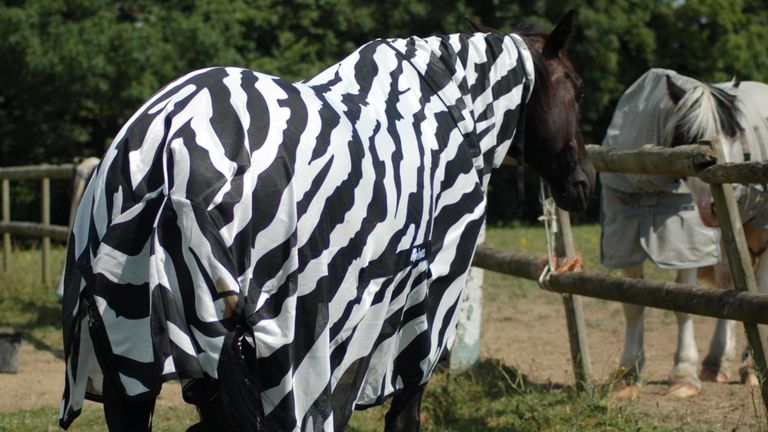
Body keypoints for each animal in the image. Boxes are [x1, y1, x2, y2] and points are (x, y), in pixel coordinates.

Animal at [58, 10, 593, 432]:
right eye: (578, 89)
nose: (584, 182)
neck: (451, 113)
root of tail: (161, 148)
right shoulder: (422, 315)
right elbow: (402, 414)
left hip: (132, 365)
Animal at [600, 68, 768, 398]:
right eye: (692, 139)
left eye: (734, 135)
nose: (729, 198)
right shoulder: (624, 234)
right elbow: (631, 303)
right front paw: (627, 373)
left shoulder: (687, 243)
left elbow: (683, 306)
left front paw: (683, 375)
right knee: (731, 284)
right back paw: (716, 362)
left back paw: (750, 371)